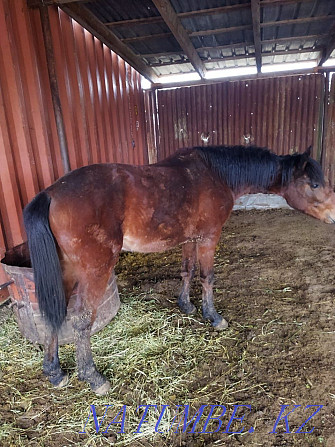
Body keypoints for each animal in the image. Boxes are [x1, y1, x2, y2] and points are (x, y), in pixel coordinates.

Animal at [23, 145, 335, 394]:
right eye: (314, 185)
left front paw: (186, 305)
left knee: (54, 312)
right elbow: (207, 276)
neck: (216, 174)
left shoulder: (190, 239)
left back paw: (54, 372)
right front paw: (213, 316)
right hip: (95, 270)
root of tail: (51, 194)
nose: (334, 216)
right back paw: (92, 377)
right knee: (81, 320)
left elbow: (187, 271)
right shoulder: (209, 237)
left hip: (65, 270)